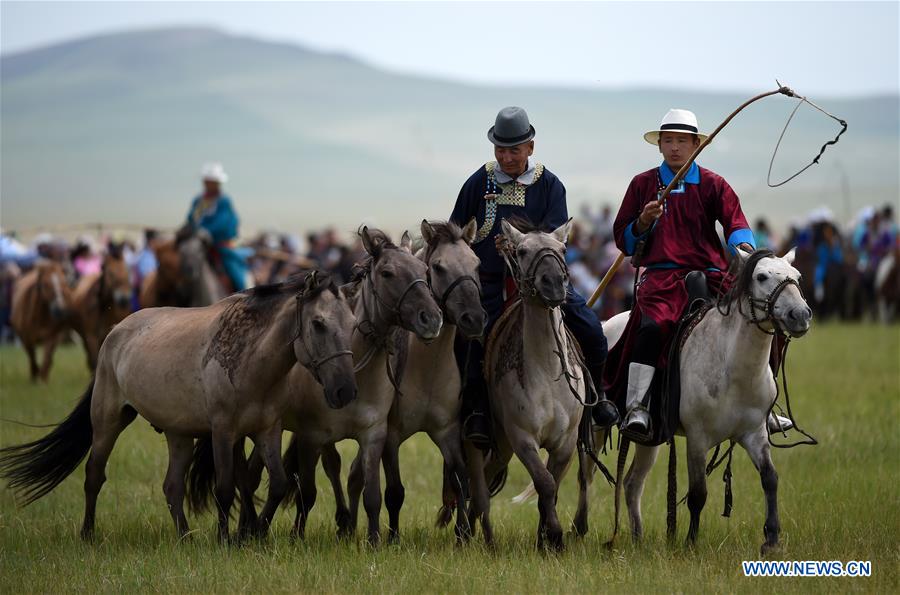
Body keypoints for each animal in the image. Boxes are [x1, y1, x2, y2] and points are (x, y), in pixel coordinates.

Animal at [0, 270, 358, 542]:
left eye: (352, 323)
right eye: (318, 324)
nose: (345, 390)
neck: (251, 358)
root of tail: (115, 332)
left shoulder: (266, 430)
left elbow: (279, 484)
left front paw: (255, 532)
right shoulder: (223, 431)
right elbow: (225, 487)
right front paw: (226, 539)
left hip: (179, 434)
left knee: (172, 487)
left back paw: (185, 536)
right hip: (108, 421)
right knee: (94, 475)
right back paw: (88, 534)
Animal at [188, 227, 444, 546]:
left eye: (424, 270)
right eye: (387, 273)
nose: (431, 319)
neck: (355, 367)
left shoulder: (373, 434)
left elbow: (369, 491)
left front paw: (371, 538)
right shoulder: (311, 435)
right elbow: (308, 491)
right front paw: (297, 535)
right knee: (247, 474)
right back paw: (247, 529)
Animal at [322, 218, 484, 544]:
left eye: (476, 264)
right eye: (438, 267)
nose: (474, 318)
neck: (427, 366)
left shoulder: (447, 431)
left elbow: (460, 480)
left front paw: (462, 535)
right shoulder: (391, 435)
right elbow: (395, 490)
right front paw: (393, 537)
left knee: (355, 475)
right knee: (335, 466)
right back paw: (345, 524)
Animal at [570, 248, 811, 555]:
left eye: (797, 277)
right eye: (761, 276)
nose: (800, 315)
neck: (732, 365)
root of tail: (605, 322)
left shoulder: (754, 433)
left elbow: (770, 479)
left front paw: (771, 540)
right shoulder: (698, 437)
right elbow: (698, 492)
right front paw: (691, 542)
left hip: (651, 437)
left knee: (632, 482)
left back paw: (637, 536)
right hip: (598, 425)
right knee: (586, 475)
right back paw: (579, 527)